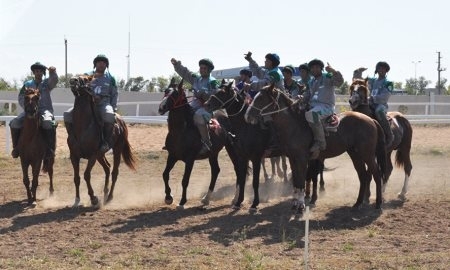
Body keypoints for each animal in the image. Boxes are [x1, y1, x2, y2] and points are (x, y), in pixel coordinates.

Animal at [67, 76, 136, 207]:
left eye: (85, 79)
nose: (73, 80)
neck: (83, 127)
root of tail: (120, 120)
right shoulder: (74, 156)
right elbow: (76, 178)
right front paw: (77, 200)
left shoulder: (93, 156)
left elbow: (86, 175)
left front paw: (94, 198)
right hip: (101, 155)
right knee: (107, 168)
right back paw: (105, 194)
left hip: (117, 150)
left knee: (114, 172)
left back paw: (109, 198)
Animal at [157, 78, 237, 209]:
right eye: (166, 91)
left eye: (175, 94)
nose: (161, 107)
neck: (181, 130)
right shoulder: (172, 156)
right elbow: (165, 174)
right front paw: (168, 197)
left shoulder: (190, 159)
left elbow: (185, 180)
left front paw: (182, 202)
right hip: (213, 154)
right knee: (215, 171)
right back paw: (206, 198)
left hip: (232, 149)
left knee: (238, 169)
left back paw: (235, 199)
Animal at [244, 84, 388, 211]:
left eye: (261, 98)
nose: (247, 116)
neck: (295, 125)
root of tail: (371, 120)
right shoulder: (292, 158)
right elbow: (296, 180)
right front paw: (295, 203)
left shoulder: (302, 159)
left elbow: (302, 180)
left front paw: (301, 205)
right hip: (355, 154)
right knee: (363, 176)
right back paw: (358, 203)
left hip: (368, 155)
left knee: (376, 174)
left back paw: (378, 203)